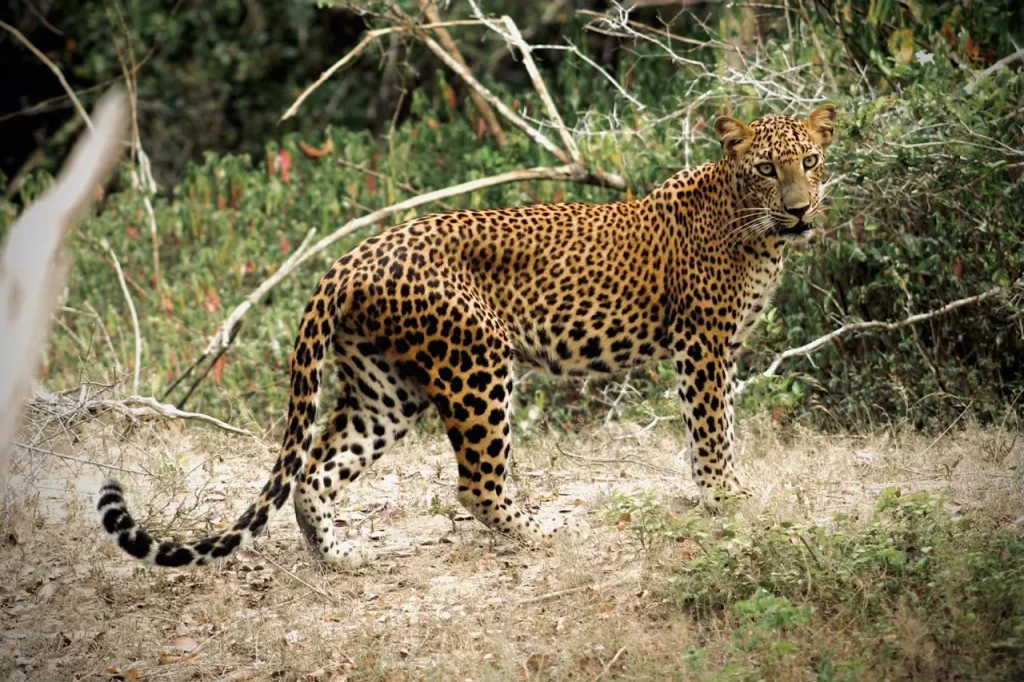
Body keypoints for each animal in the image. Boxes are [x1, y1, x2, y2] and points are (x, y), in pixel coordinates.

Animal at [97, 104, 837, 568]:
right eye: (767, 169)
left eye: (810, 160)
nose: (801, 209)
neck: (757, 231)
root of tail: (348, 260)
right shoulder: (703, 345)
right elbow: (710, 429)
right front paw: (724, 499)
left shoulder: (722, 348)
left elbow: (721, 425)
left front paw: (722, 491)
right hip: (476, 362)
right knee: (476, 483)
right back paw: (543, 531)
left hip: (385, 390)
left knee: (315, 470)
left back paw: (341, 557)